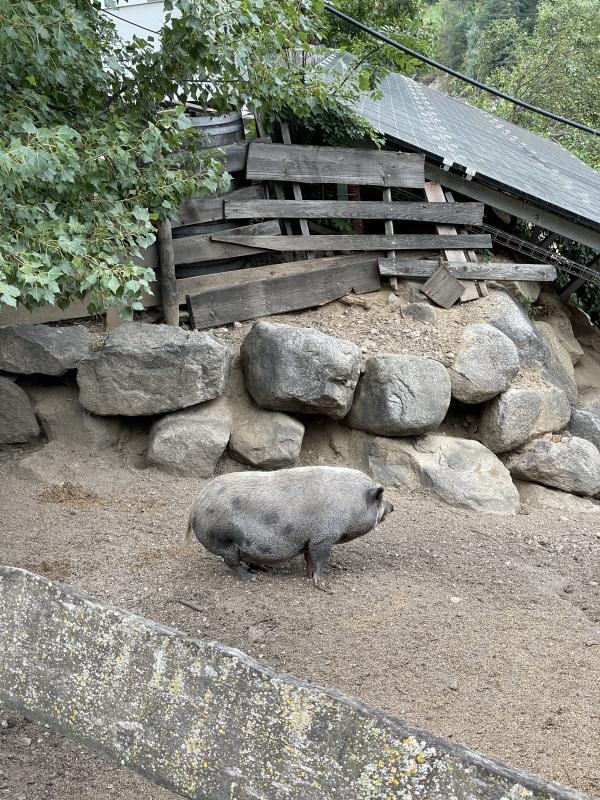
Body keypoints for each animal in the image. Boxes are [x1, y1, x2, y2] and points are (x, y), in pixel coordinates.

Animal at [185, 466, 396, 592]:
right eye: (379, 500)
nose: (393, 506)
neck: (350, 505)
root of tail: (195, 505)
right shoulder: (323, 538)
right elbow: (319, 560)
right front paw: (324, 586)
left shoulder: (310, 539)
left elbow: (309, 558)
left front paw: (309, 575)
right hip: (222, 539)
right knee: (231, 562)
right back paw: (253, 578)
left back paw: (264, 569)